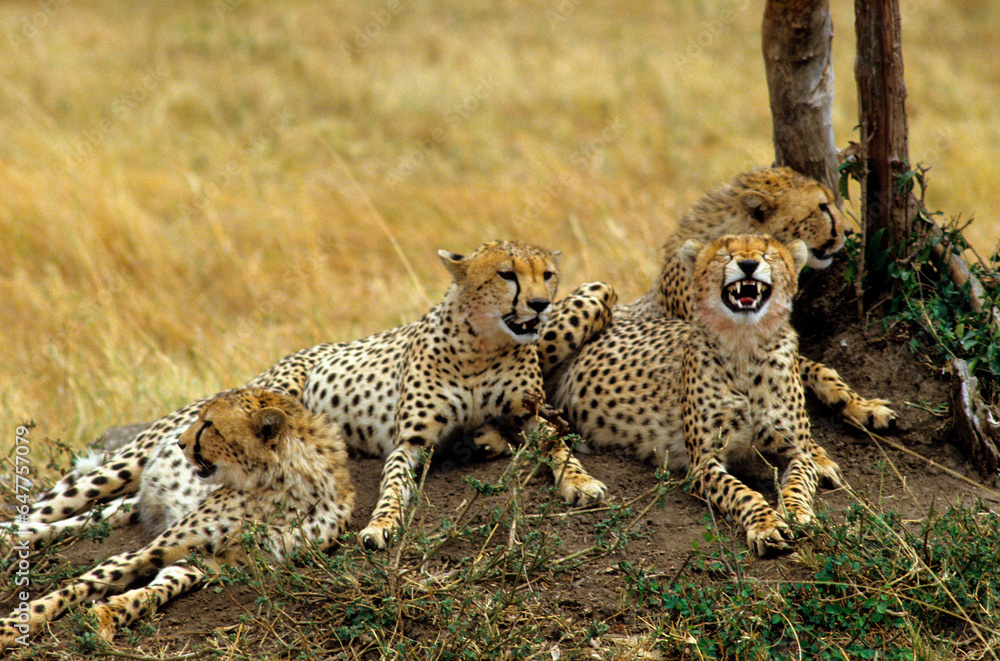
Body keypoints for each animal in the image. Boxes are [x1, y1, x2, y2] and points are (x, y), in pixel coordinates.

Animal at [0, 388, 354, 650]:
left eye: (210, 424)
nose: (180, 442)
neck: (280, 488)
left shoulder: (209, 564)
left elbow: (154, 592)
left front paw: (107, 615)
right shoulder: (148, 551)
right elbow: (76, 587)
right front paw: (14, 627)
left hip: (128, 505)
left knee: (73, 523)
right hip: (112, 475)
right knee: (42, 509)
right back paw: (9, 537)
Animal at [5, 240, 609, 554]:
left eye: (548, 275)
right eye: (507, 274)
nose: (540, 305)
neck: (486, 344)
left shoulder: (529, 414)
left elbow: (558, 446)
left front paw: (580, 482)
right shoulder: (408, 442)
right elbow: (393, 487)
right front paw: (381, 525)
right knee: (52, 505)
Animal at [544, 235, 844, 556]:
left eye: (768, 254)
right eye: (724, 254)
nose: (748, 263)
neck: (746, 345)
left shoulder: (794, 452)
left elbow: (798, 484)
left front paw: (798, 514)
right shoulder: (704, 462)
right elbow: (743, 493)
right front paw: (766, 526)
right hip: (595, 296)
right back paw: (579, 482)